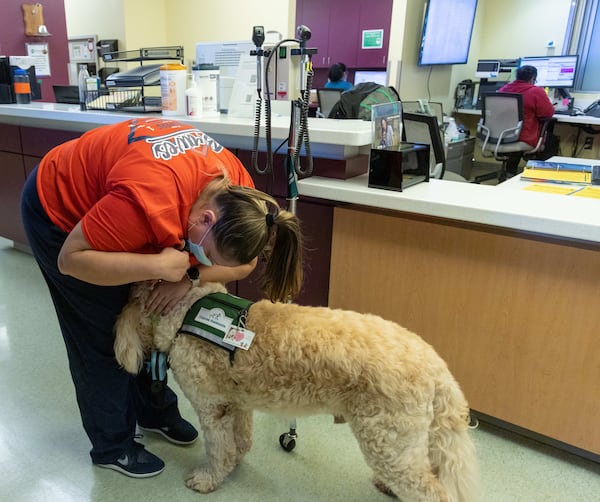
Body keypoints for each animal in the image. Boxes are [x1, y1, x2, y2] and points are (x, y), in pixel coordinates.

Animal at [113, 280, 478, 500]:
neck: (186, 312)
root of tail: (436, 365)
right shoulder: (237, 403)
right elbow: (238, 441)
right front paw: (235, 463)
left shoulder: (212, 405)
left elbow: (218, 448)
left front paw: (208, 479)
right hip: (408, 441)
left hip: (388, 440)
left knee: (433, 491)